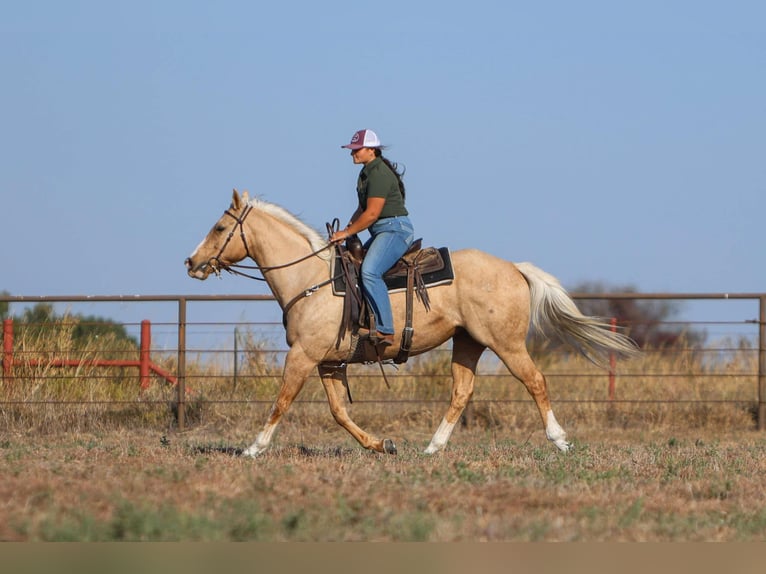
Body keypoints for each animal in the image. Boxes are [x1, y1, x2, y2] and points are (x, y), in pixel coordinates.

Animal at [185, 189, 639, 457]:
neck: (311, 279)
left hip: (506, 344)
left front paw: (253, 448)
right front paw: (380, 444)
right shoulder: (329, 362)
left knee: (536, 381)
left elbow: (282, 401)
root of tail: (513, 267)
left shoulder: (303, 356)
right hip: (468, 343)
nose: (191, 262)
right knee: (461, 392)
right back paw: (433, 448)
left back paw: (559, 440)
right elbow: (338, 412)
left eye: (220, 227)